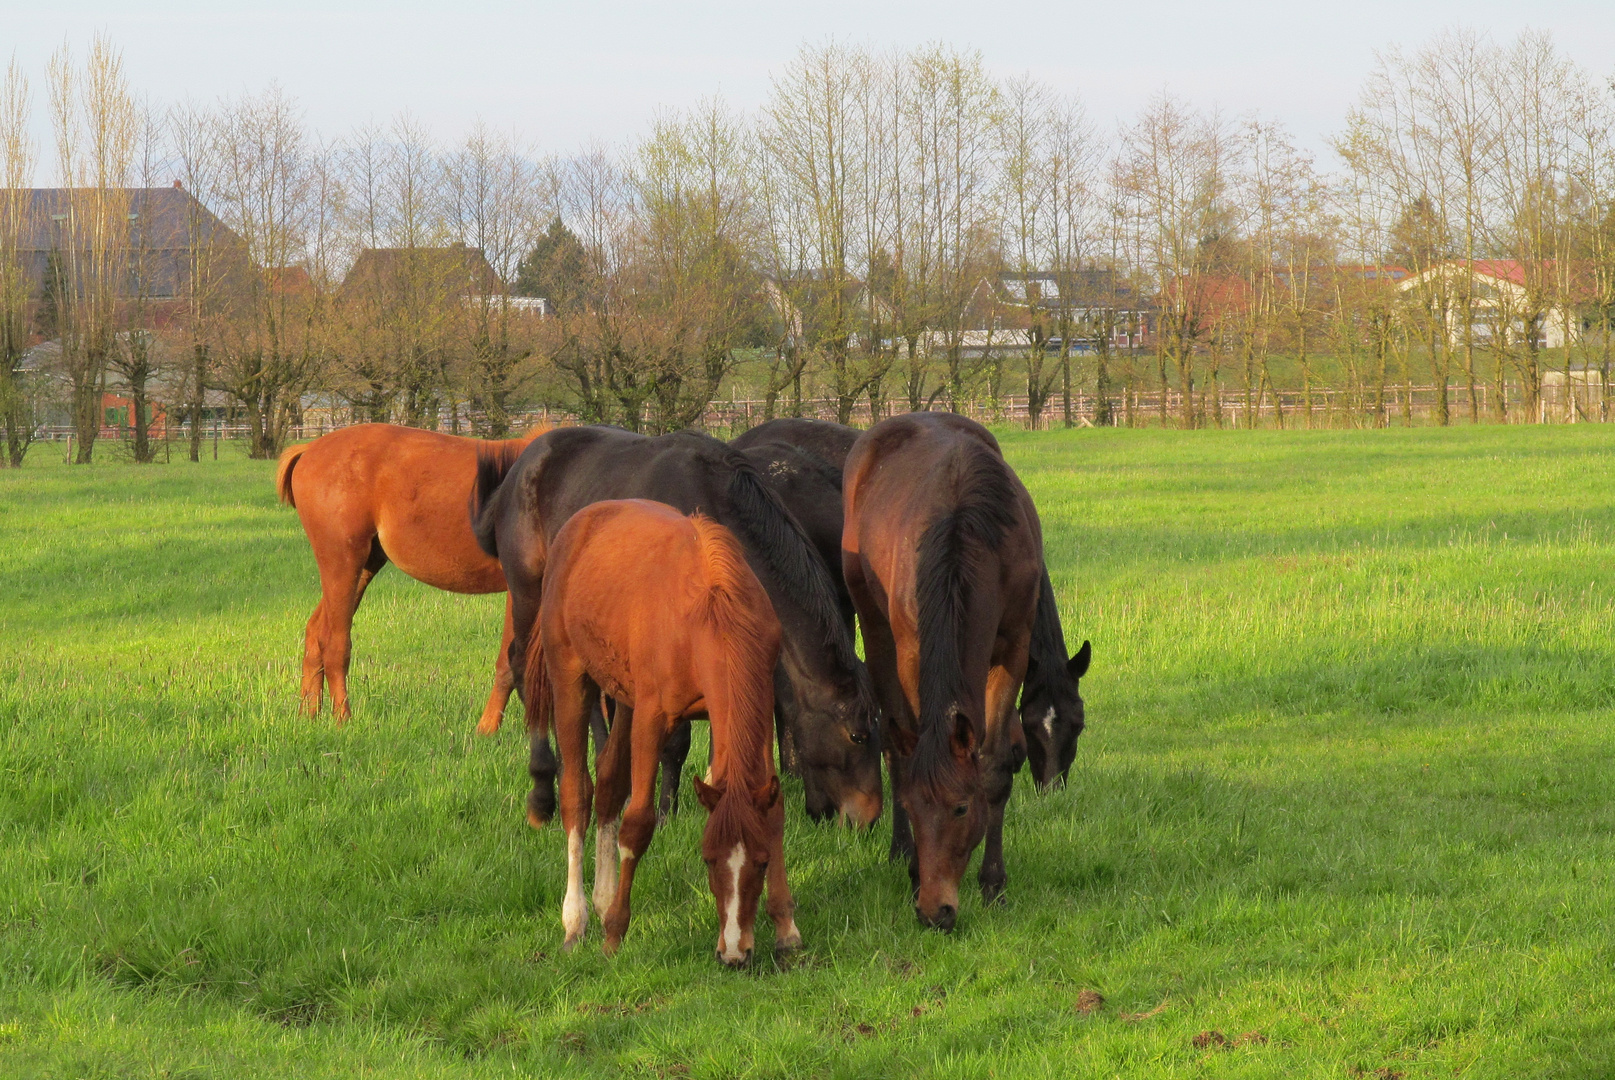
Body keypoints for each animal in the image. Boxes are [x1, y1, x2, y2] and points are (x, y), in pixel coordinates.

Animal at [277, 419, 549, 723]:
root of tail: (309, 448)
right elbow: (511, 663)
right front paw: (487, 729)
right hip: (343, 562)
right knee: (335, 642)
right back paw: (342, 720)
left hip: (364, 566)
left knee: (315, 631)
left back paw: (309, 715)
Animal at [471, 422, 885, 826]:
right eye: (857, 736)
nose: (867, 820)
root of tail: (522, 465)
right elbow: (677, 738)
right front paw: (664, 812)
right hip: (529, 590)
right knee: (525, 667)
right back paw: (545, 792)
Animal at [529, 497, 801, 962]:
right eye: (708, 860)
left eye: (763, 862)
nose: (734, 953)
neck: (711, 613)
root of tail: (581, 522)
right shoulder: (652, 718)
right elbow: (638, 822)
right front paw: (615, 933)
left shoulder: (758, 713)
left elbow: (775, 810)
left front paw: (785, 926)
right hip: (570, 678)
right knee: (577, 794)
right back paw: (576, 920)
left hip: (623, 695)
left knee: (608, 784)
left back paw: (602, 899)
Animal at [839, 413, 1040, 929]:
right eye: (913, 807)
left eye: (961, 808)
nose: (935, 912)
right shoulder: (912, 652)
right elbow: (908, 749)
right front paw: (913, 866)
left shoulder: (1014, 648)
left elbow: (993, 765)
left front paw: (993, 883)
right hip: (874, 626)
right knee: (892, 741)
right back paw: (898, 850)